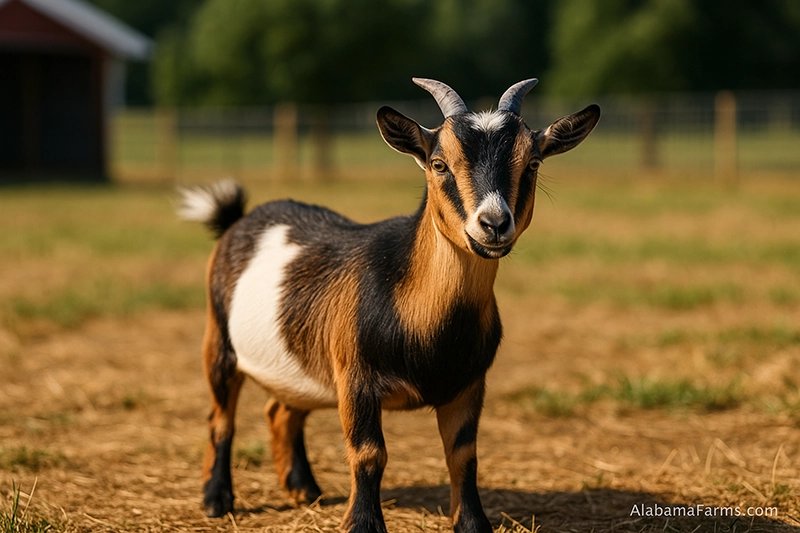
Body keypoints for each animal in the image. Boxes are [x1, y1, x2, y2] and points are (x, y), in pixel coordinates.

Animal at [179, 78, 600, 533]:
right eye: (439, 164)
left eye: (533, 163)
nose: (493, 224)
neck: (427, 326)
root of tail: (238, 220)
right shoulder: (356, 377)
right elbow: (368, 452)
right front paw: (363, 524)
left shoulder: (469, 384)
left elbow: (463, 455)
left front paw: (472, 524)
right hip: (219, 338)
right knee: (221, 416)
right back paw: (217, 500)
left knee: (282, 411)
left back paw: (304, 491)